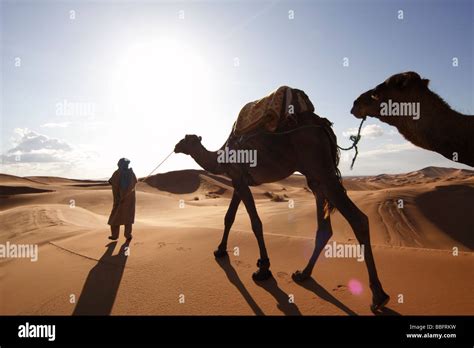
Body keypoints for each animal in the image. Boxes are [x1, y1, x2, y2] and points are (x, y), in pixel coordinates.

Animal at [174, 109, 388, 310]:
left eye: (186, 139)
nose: (176, 147)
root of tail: (325, 127)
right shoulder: (238, 181)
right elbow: (229, 217)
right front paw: (220, 250)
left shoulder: (240, 180)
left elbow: (255, 223)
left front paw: (263, 269)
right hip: (315, 177)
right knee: (325, 227)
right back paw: (303, 274)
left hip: (321, 168)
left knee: (358, 219)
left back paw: (379, 296)